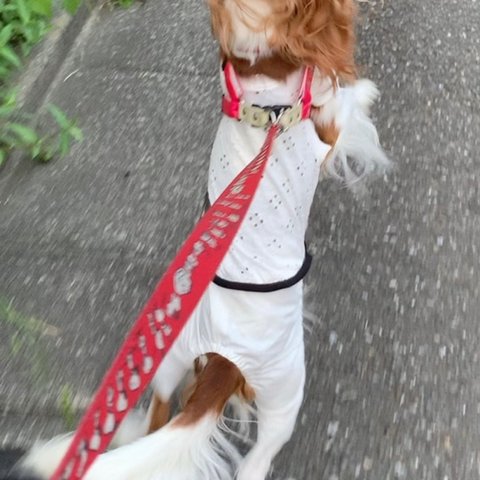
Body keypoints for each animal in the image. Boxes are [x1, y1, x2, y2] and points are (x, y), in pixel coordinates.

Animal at [17, 0, 390, 480]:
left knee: (157, 417)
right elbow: (348, 114)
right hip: (284, 395)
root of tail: (222, 361)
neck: (264, 92)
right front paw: (366, 91)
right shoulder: (328, 132)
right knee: (256, 459)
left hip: (168, 362)